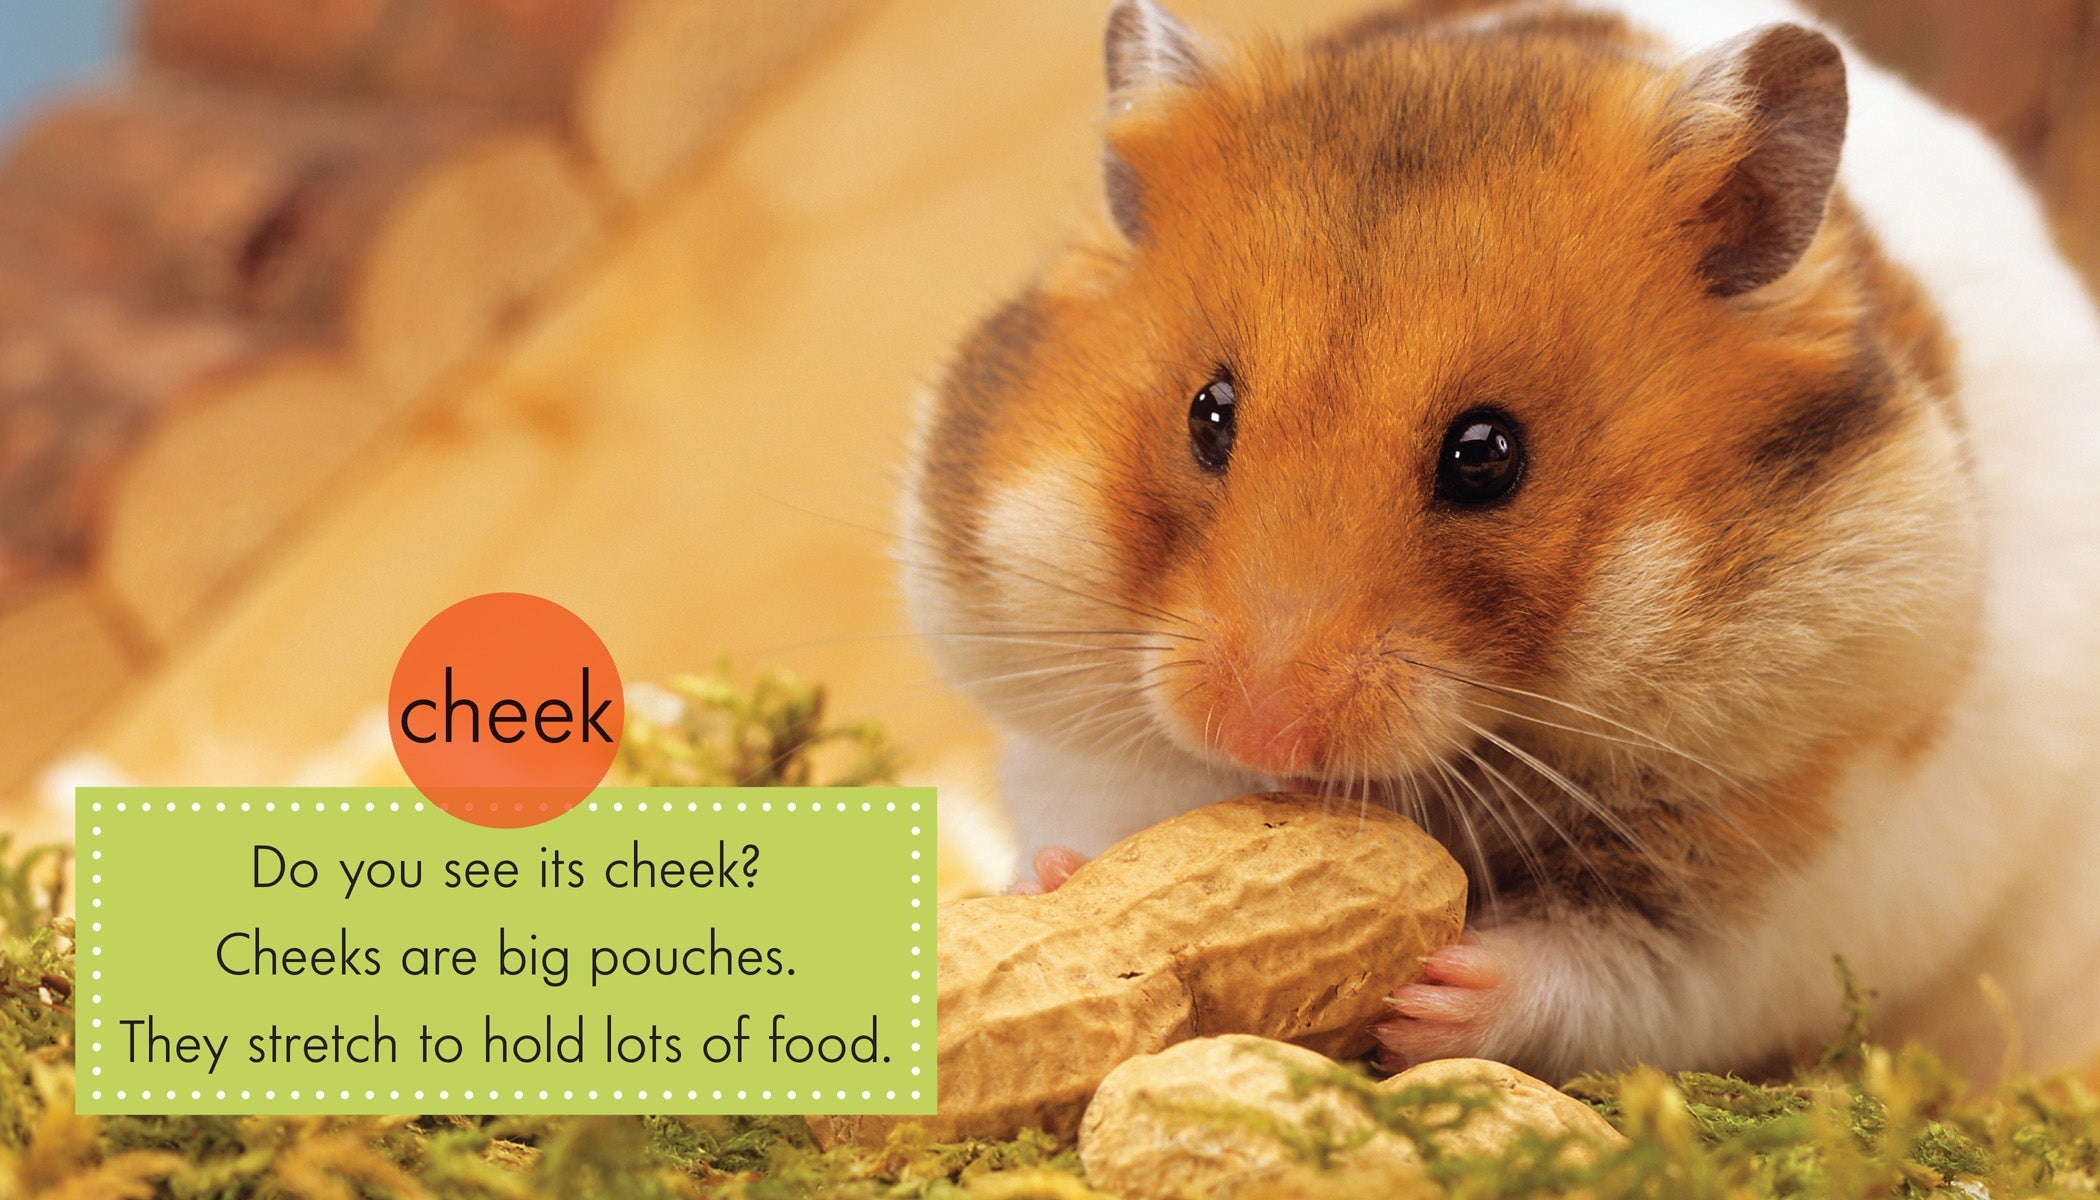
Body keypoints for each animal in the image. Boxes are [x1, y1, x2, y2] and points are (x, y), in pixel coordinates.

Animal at [900, 0, 2100, 1083]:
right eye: (1209, 414)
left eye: (1487, 454)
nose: (1261, 732)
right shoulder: (1078, 745)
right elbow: (1111, 830)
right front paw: (1055, 886)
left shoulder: (1786, 877)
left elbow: (1612, 969)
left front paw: (1437, 995)